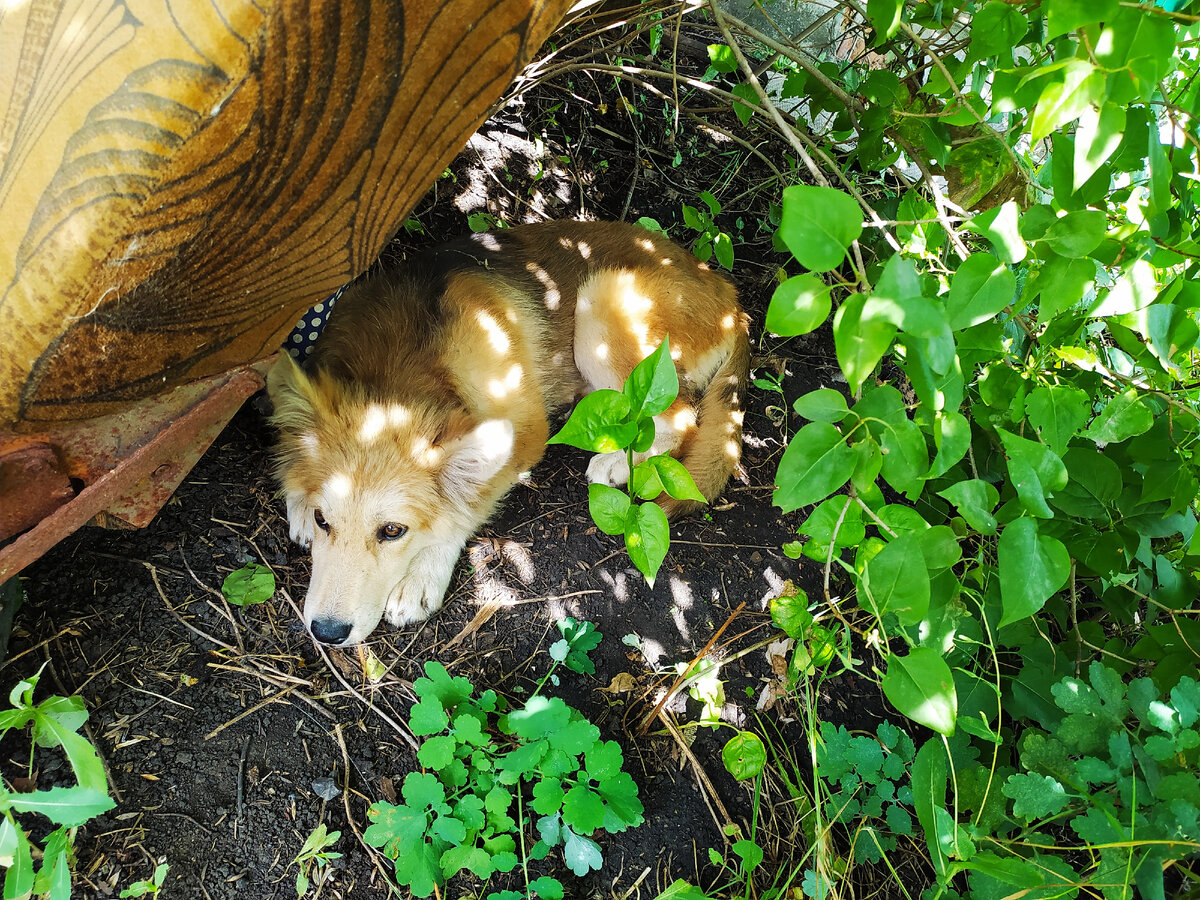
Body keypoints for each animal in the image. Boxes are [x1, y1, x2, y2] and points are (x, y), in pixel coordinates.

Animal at [272, 224, 748, 648]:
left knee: (681, 416)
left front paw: (423, 575)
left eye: (393, 531)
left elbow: (464, 505)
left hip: (602, 305)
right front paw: (296, 496)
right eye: (323, 520)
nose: (326, 633)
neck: (401, 370)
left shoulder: (528, 432)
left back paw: (615, 461)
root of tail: (728, 294)